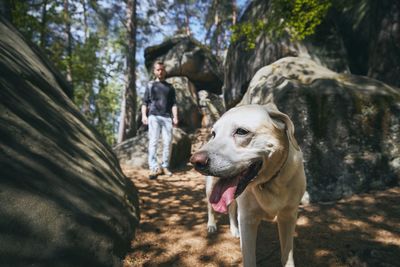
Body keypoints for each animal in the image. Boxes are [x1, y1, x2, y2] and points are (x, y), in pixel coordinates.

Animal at [191, 103, 306, 266]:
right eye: (214, 134)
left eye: (241, 131)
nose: (195, 161)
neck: (268, 182)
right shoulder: (247, 219)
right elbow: (249, 258)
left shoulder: (288, 216)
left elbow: (287, 255)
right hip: (210, 189)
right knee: (211, 207)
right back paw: (211, 225)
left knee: (231, 209)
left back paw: (234, 229)